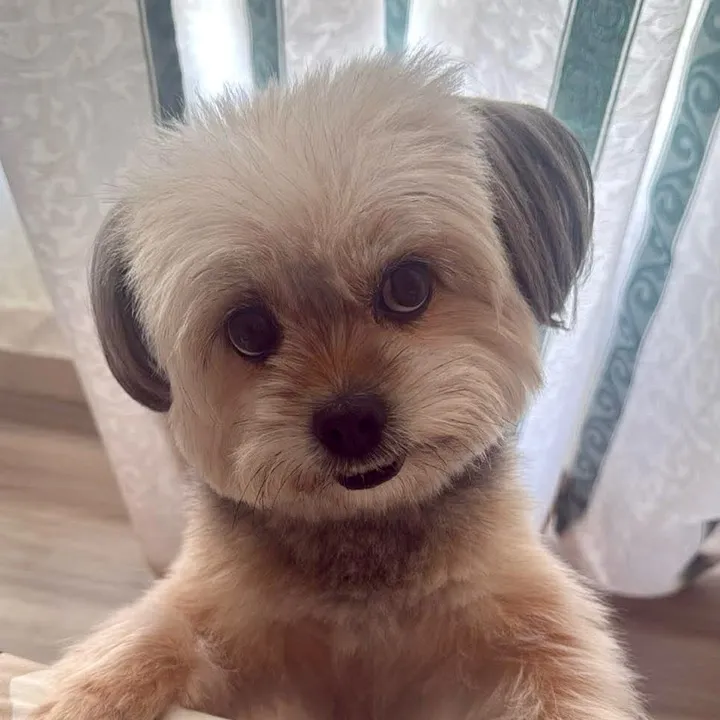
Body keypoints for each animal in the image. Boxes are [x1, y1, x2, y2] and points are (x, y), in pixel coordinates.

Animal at [33, 53, 643, 720]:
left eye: (408, 286)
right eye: (249, 329)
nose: (350, 423)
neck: (363, 537)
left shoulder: (531, 620)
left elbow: (566, 676)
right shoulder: (224, 610)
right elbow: (153, 631)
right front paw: (77, 695)